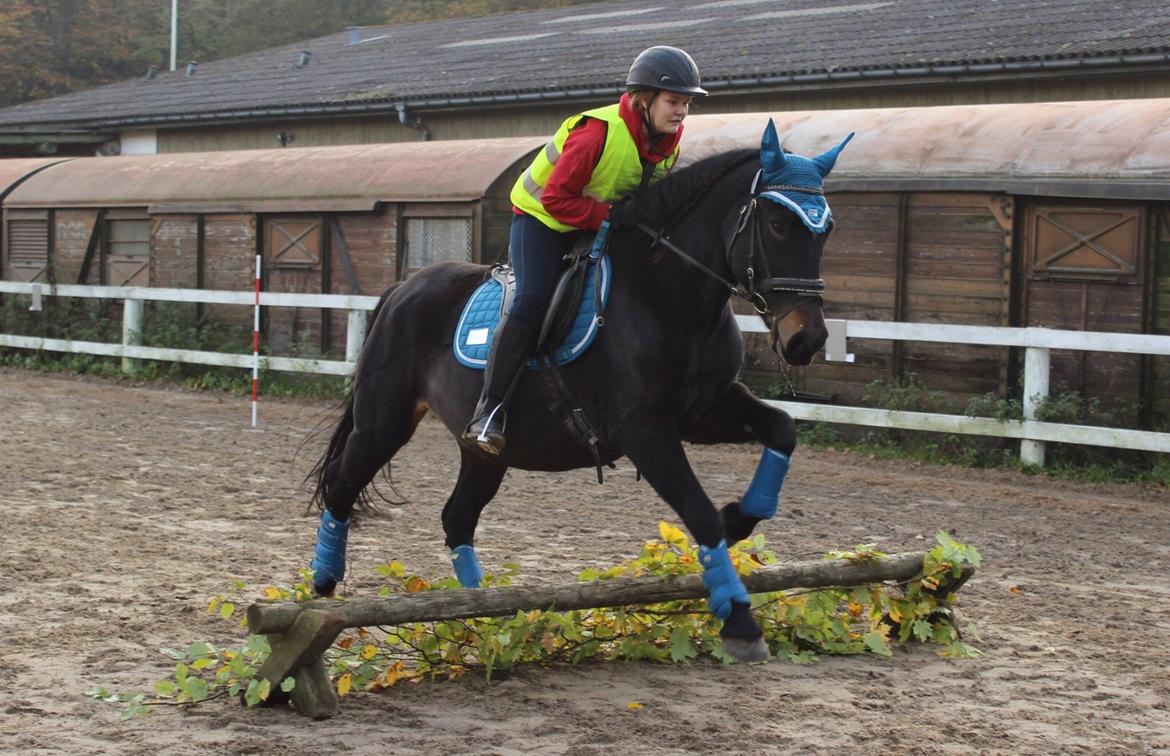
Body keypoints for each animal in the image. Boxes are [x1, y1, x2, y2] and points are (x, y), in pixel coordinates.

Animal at [306, 119, 856, 664]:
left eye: (826, 229)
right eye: (778, 225)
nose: (807, 339)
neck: (668, 294)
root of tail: (403, 288)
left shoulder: (703, 412)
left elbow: (781, 430)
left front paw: (741, 516)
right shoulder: (643, 430)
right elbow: (700, 514)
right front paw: (739, 619)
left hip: (483, 451)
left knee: (457, 518)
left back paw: (483, 621)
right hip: (385, 422)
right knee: (341, 484)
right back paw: (323, 585)